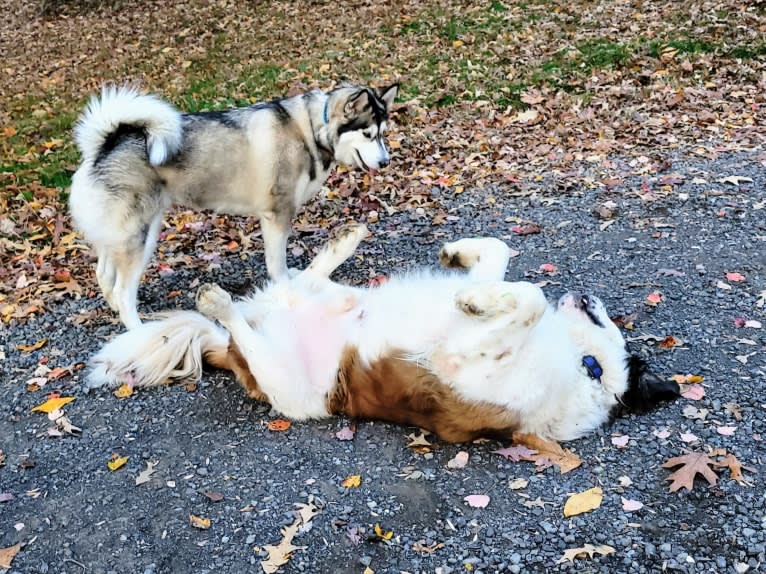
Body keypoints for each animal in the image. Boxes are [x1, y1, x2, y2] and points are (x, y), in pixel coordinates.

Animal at [70, 83, 402, 330]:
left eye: (383, 133)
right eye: (368, 134)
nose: (386, 162)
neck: (311, 128)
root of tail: (104, 146)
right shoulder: (277, 215)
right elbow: (277, 264)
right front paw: (287, 288)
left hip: (132, 235)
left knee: (105, 276)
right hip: (139, 238)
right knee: (122, 291)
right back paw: (138, 330)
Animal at [87, 225, 680, 440]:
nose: (591, 297)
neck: (586, 369)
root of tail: (227, 351)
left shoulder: (458, 360)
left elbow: (529, 298)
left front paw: (474, 298)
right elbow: (503, 259)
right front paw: (460, 259)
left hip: (288, 384)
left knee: (247, 328)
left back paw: (219, 302)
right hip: (339, 297)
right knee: (301, 278)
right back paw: (344, 240)